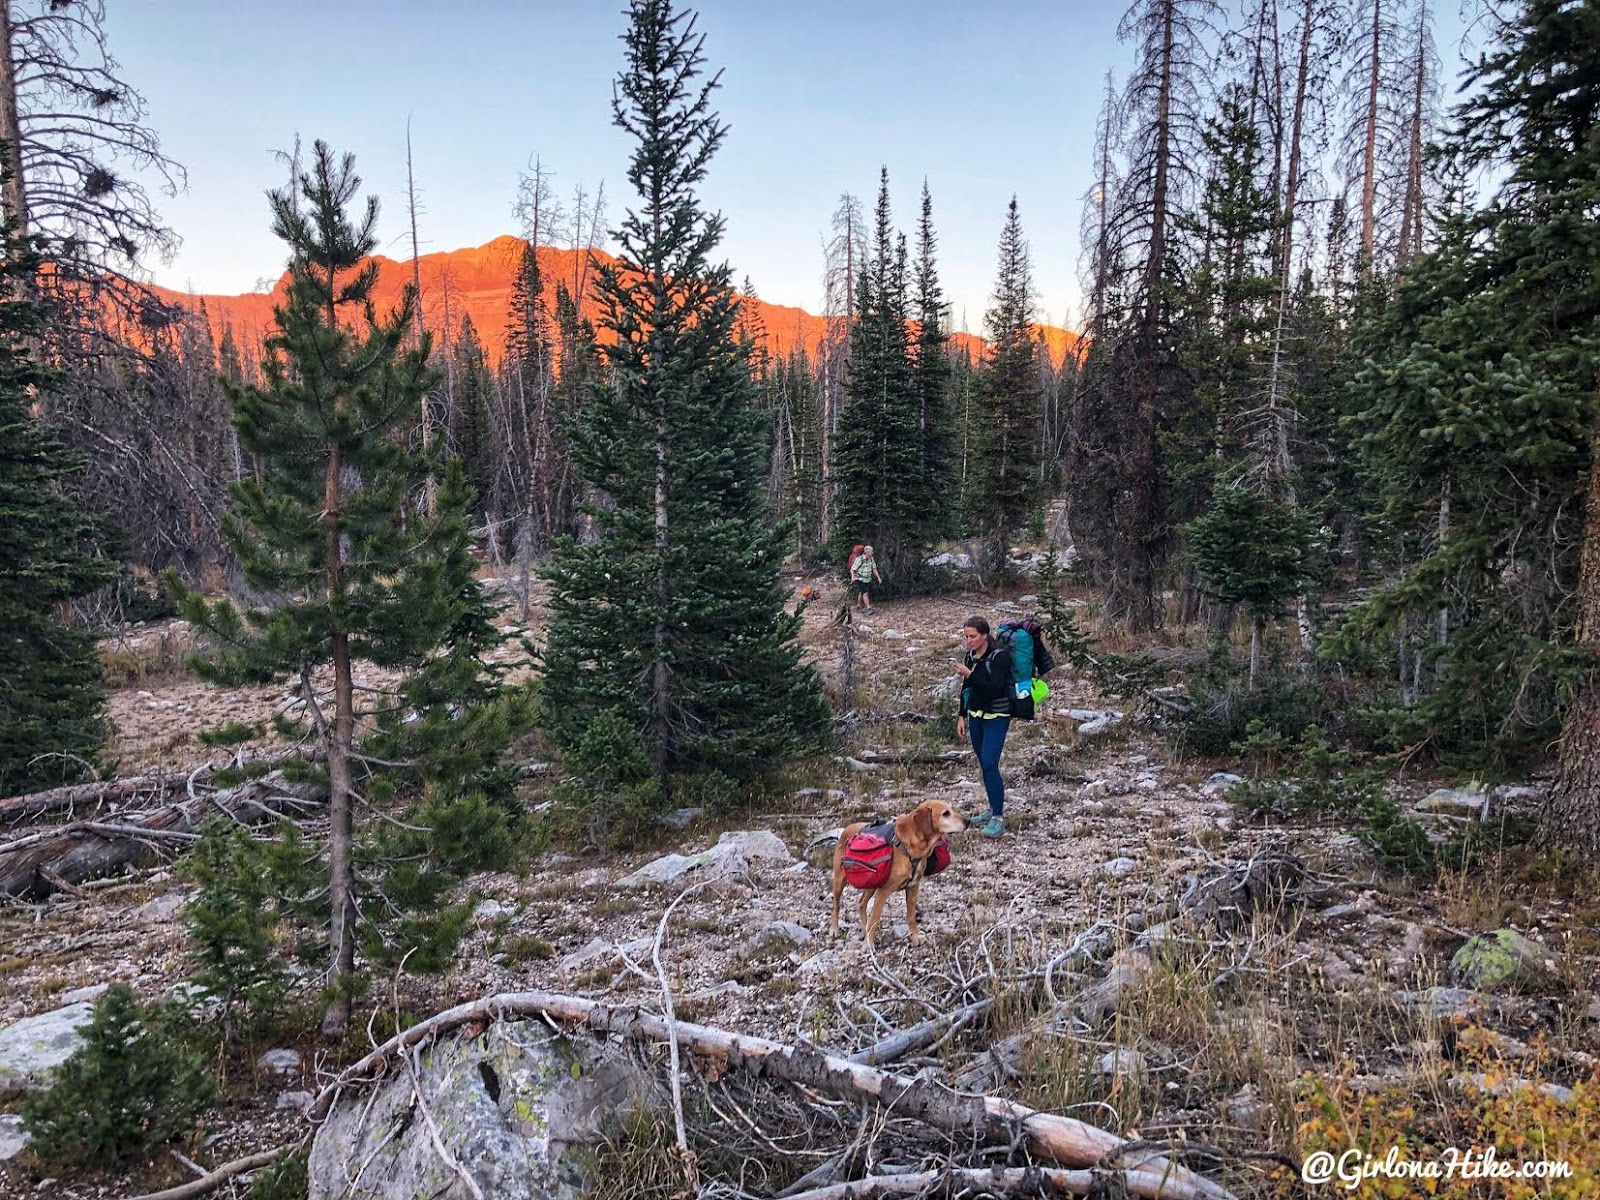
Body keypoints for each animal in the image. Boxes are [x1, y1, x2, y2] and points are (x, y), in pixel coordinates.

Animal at [832, 803, 966, 953]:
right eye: (945, 813)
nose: (968, 822)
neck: (910, 847)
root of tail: (847, 828)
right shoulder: (883, 891)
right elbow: (875, 918)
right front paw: (869, 944)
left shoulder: (913, 887)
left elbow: (911, 917)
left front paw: (915, 938)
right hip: (840, 881)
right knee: (836, 904)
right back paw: (834, 929)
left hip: (872, 885)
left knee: (861, 902)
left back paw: (863, 930)